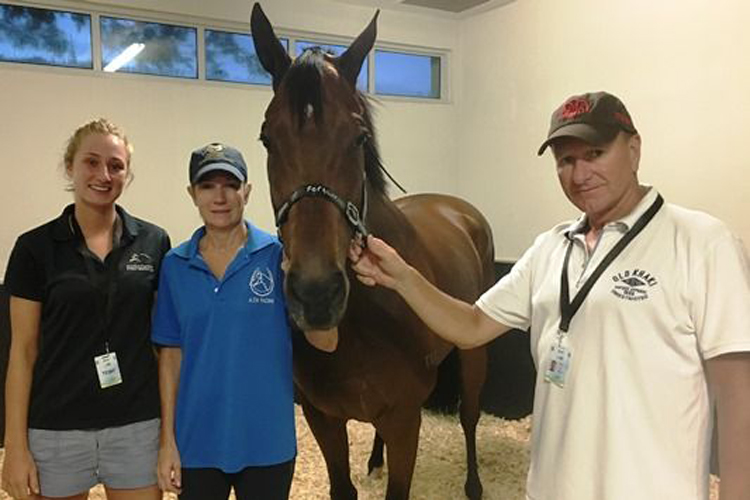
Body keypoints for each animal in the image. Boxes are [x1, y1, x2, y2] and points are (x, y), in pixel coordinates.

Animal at [253, 2, 496, 496]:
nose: (316, 295)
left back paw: (473, 483)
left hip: (472, 352)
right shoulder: (323, 418)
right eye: (268, 138)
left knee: (469, 415)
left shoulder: (406, 420)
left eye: (359, 138)